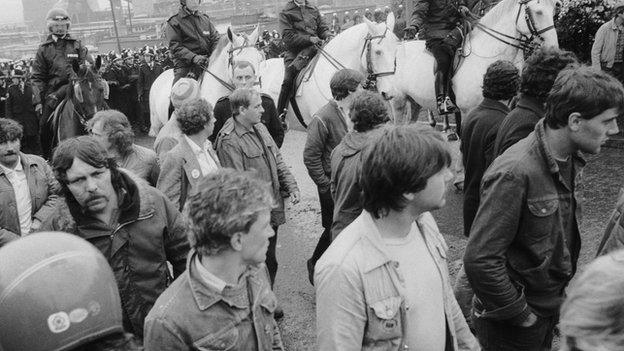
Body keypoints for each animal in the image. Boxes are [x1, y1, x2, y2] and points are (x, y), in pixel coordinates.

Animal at [392, 0, 560, 124]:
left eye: (554, 11)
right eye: (537, 12)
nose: (553, 48)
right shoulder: (468, 111)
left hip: (413, 102)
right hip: (398, 102)